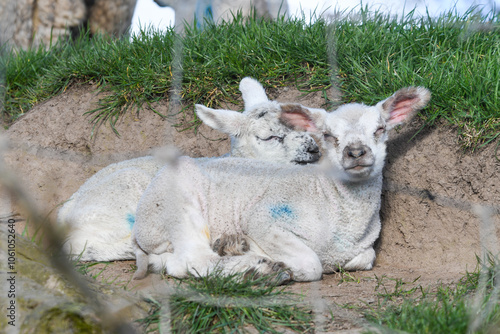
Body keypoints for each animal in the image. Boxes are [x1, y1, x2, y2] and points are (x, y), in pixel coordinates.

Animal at [132, 84, 430, 282]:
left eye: (380, 130)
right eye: (327, 135)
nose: (356, 153)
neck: (327, 196)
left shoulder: (361, 251)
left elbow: (365, 258)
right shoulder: (264, 220)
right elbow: (312, 265)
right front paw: (274, 263)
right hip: (176, 208)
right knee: (192, 261)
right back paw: (257, 268)